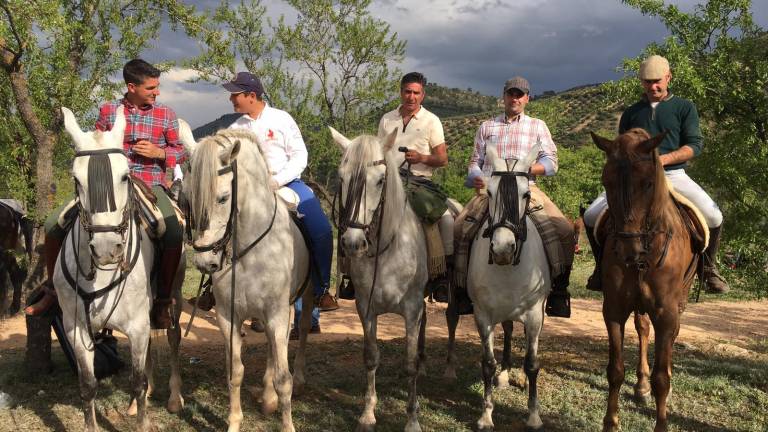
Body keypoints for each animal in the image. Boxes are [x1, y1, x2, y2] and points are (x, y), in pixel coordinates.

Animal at [55, 105, 184, 432]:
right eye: (76, 180)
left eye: (125, 176)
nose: (106, 248)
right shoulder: (77, 329)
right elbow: (88, 386)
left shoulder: (137, 324)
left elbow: (136, 382)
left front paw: (144, 419)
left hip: (173, 296)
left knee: (173, 338)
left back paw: (174, 397)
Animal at [178, 122, 314, 432]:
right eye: (187, 198)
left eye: (223, 197)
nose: (205, 261)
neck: (249, 249)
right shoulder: (229, 317)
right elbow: (236, 373)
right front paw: (234, 422)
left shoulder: (276, 313)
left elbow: (284, 379)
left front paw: (287, 424)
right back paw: (267, 397)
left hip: (306, 297)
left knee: (298, 337)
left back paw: (297, 380)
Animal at [328, 127, 428, 432]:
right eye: (342, 177)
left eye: (380, 180)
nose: (353, 243)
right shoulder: (366, 307)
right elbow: (371, 357)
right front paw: (368, 413)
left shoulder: (412, 309)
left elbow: (409, 364)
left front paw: (412, 419)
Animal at [464, 147, 548, 430]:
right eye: (489, 193)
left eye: (526, 194)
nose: (502, 249)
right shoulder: (483, 315)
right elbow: (487, 364)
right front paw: (486, 415)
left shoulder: (534, 315)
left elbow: (533, 364)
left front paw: (533, 415)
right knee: (510, 330)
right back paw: (504, 375)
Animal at [592, 129, 704, 432]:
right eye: (606, 181)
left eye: (648, 183)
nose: (628, 251)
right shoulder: (614, 308)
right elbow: (615, 370)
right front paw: (611, 422)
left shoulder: (666, 313)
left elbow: (661, 378)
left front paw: (661, 423)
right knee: (642, 329)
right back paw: (640, 386)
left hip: (679, 301)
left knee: (671, 338)